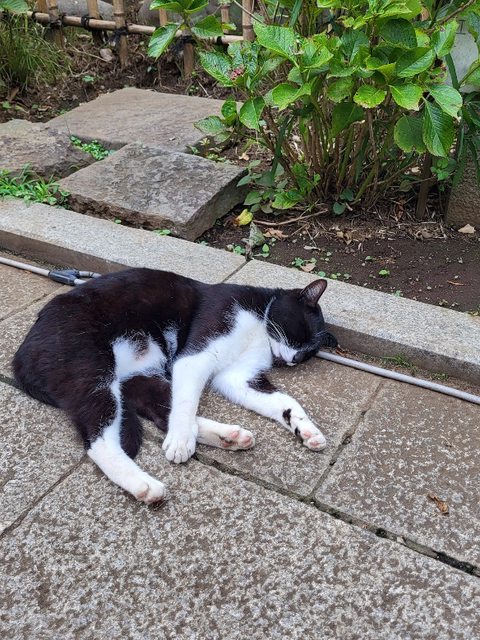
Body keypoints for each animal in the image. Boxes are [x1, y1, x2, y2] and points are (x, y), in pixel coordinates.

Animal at [13, 268, 337, 504]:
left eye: (310, 353)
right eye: (300, 333)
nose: (293, 360)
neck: (260, 327)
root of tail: (21, 355)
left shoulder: (237, 377)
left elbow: (285, 402)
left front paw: (307, 430)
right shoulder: (197, 353)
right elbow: (186, 401)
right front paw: (181, 441)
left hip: (135, 376)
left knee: (159, 409)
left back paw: (226, 436)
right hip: (92, 371)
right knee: (100, 438)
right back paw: (145, 484)